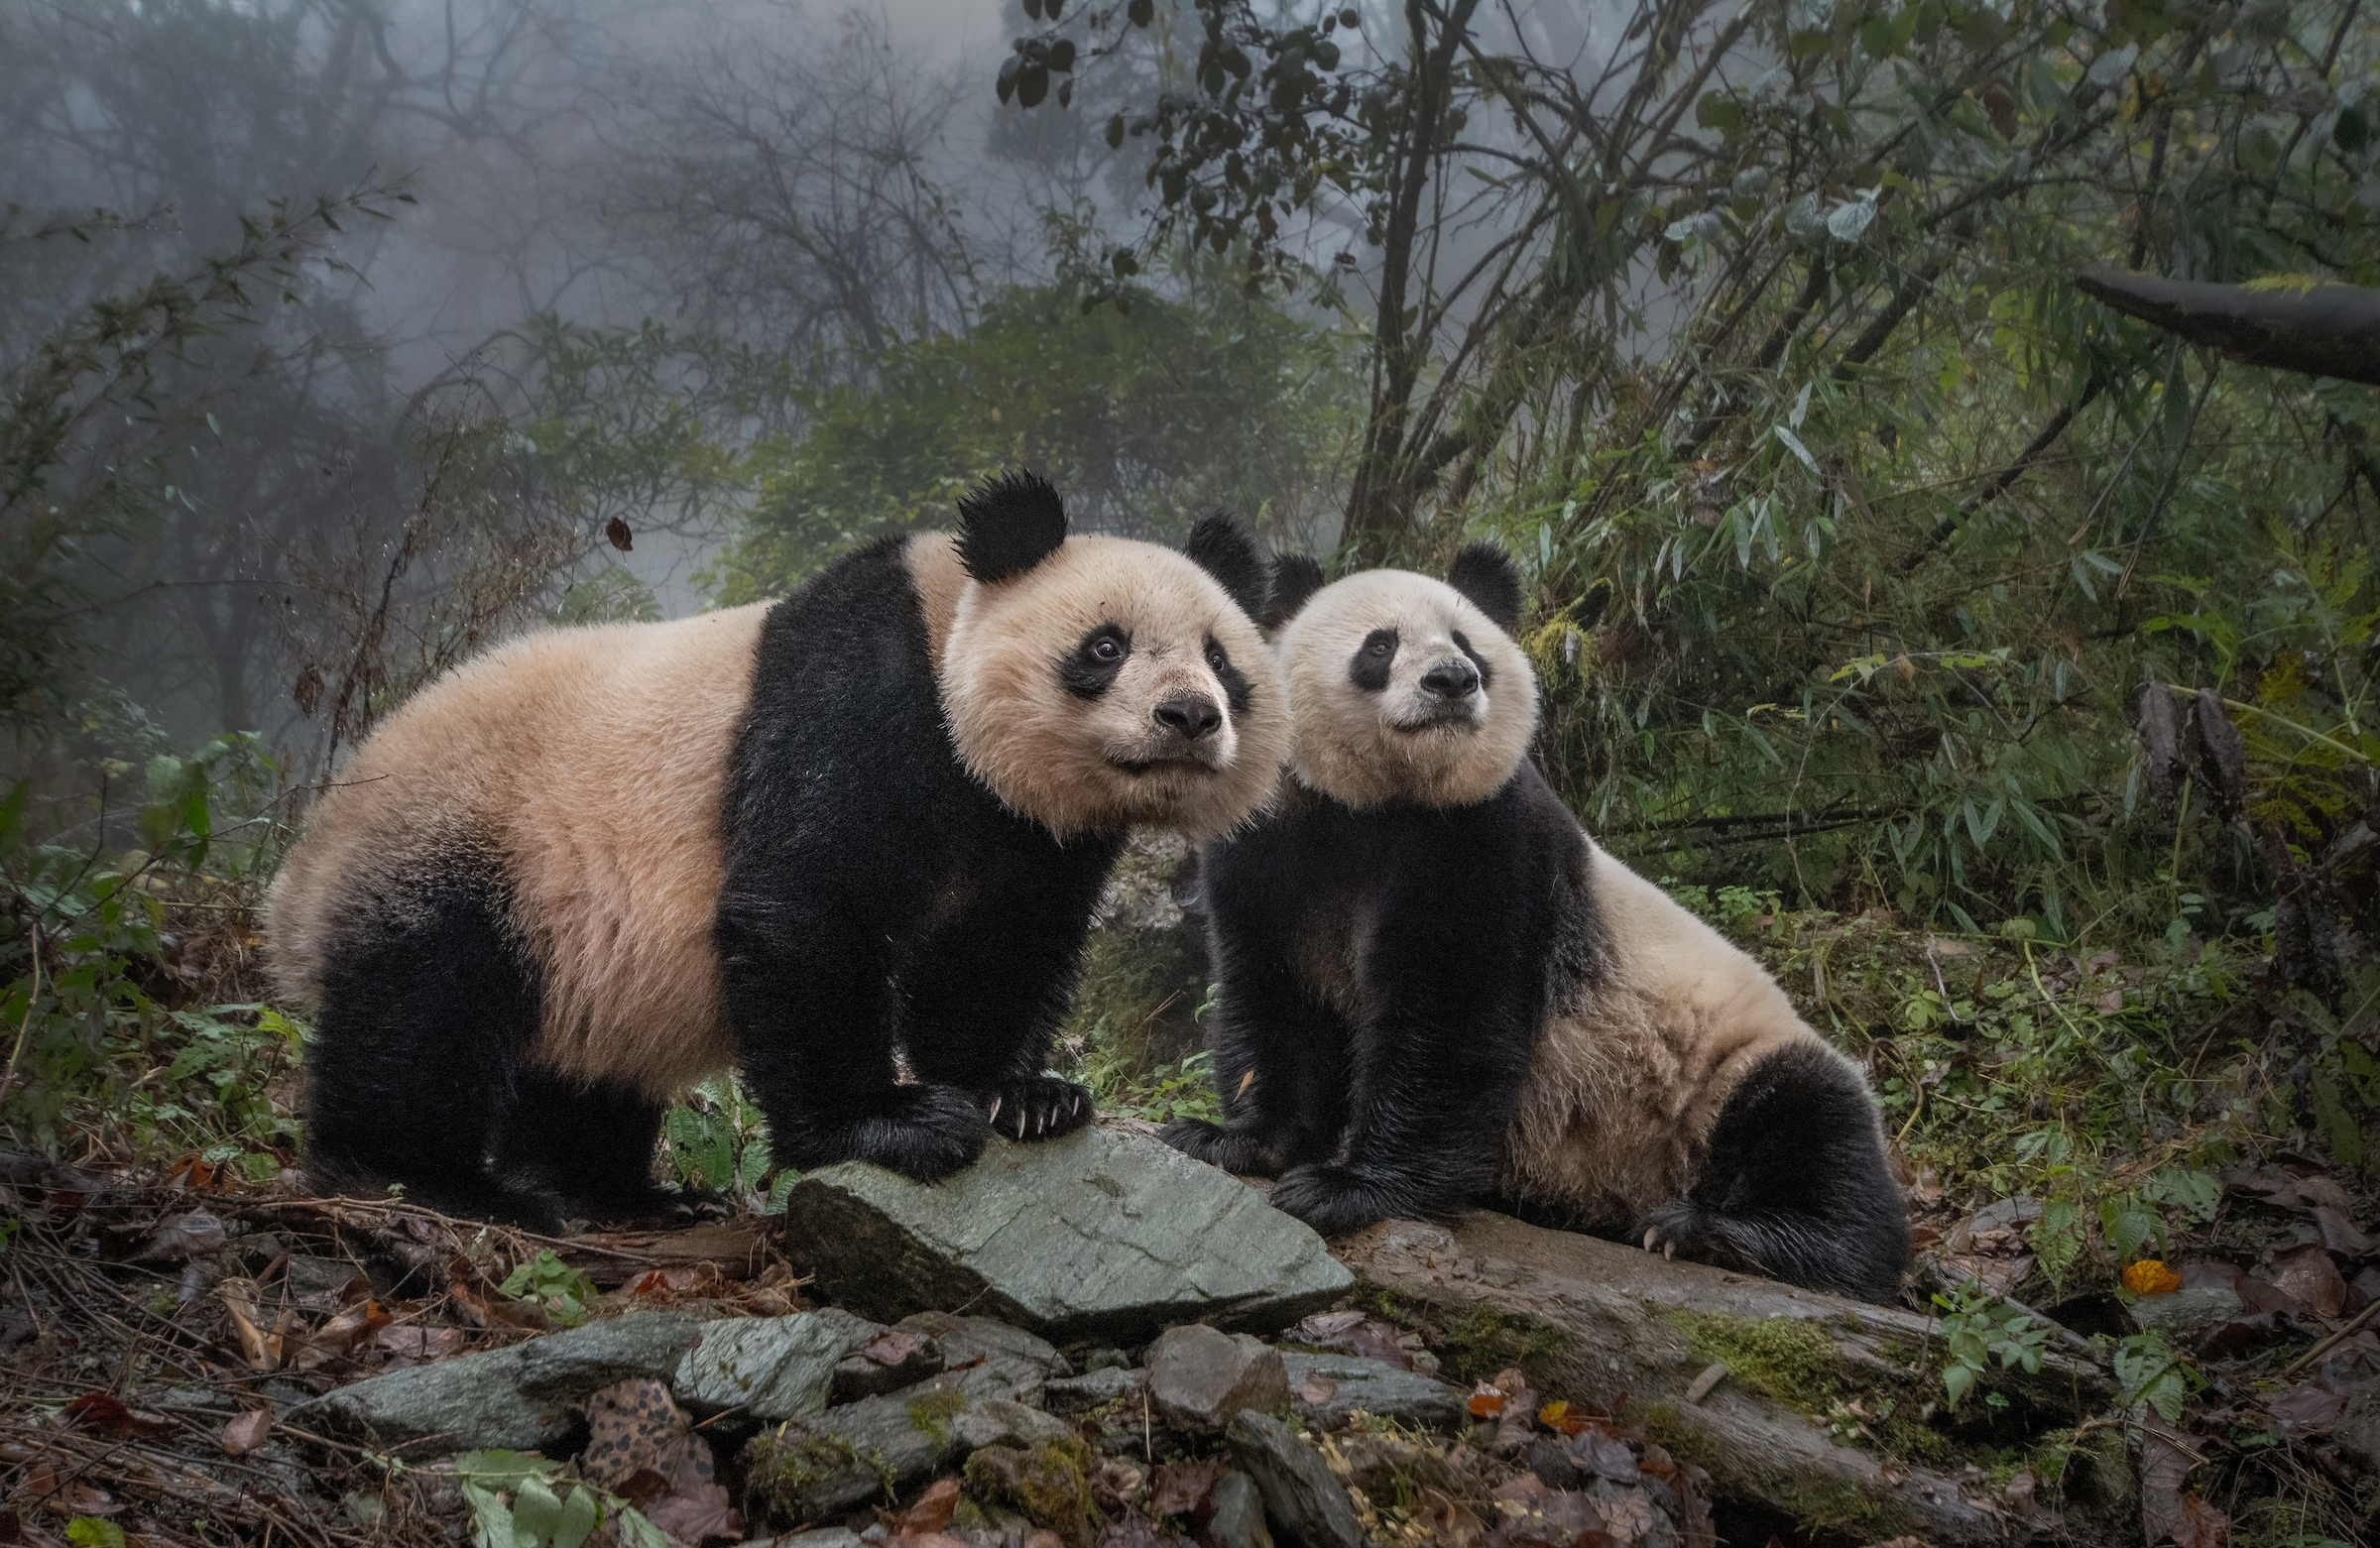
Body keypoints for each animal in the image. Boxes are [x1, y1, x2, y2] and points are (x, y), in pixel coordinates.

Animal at [267, 473, 1288, 1228]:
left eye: (1220, 657)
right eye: (1105, 646)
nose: (1189, 715)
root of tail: (300, 873)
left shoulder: (1033, 833)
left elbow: (995, 948)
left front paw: (1022, 1097)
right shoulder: (860, 696)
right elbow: (809, 904)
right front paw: (892, 1124)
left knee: (581, 1066)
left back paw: (618, 1195)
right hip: (472, 843)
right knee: (424, 1015)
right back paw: (430, 1181)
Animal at [1161, 546, 1908, 1302]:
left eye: (1468, 645)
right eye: (1380, 645)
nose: (1452, 680)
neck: (1383, 799)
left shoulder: (1487, 837)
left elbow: (1446, 1017)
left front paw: (1349, 1188)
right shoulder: (1271, 843)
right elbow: (1276, 997)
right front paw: (1232, 1139)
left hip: (1725, 1070)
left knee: (1813, 1129)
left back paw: (1717, 1233)